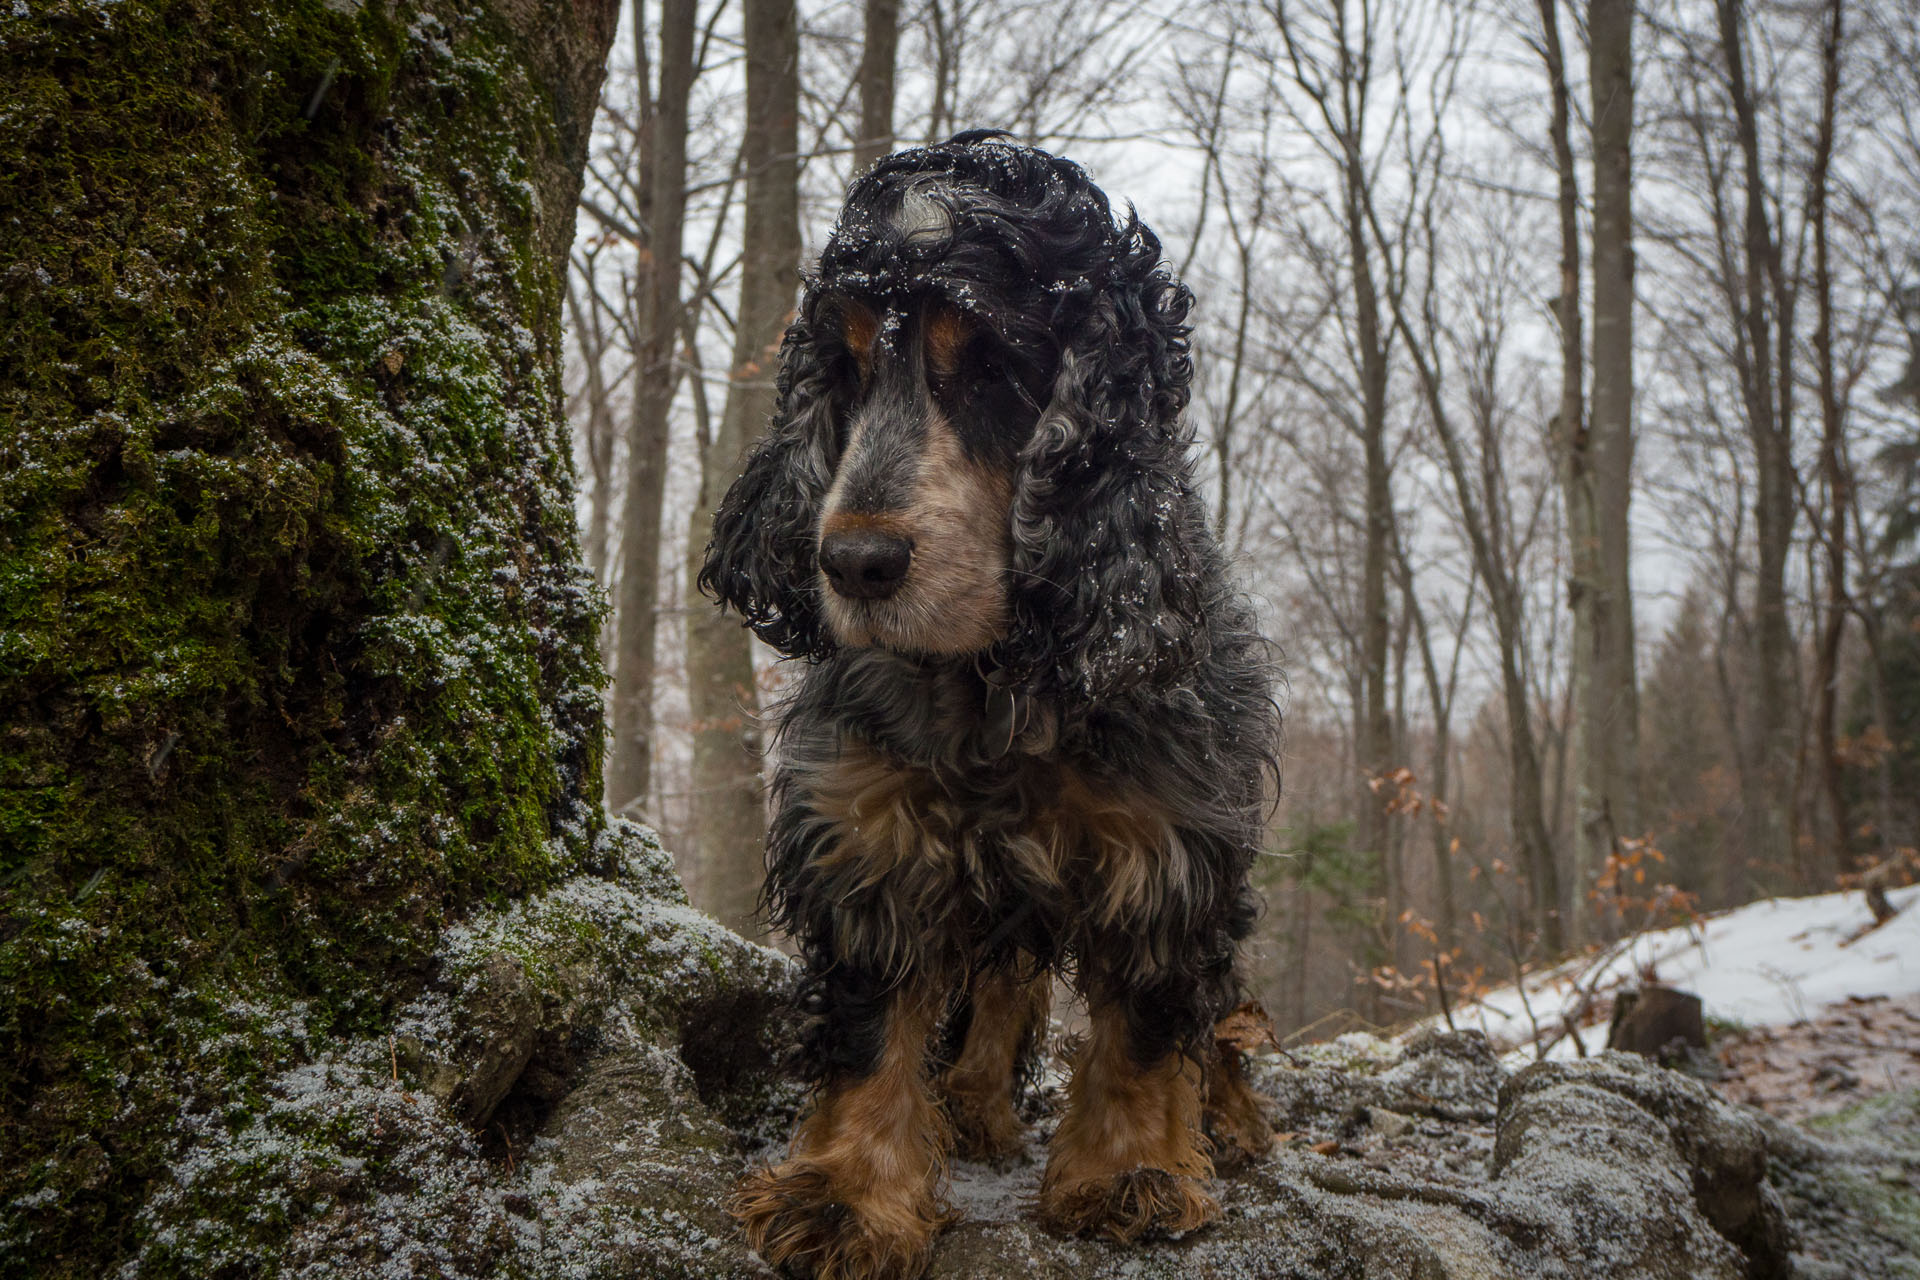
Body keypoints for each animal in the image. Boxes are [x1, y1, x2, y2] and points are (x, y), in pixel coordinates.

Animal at [698, 132, 1282, 1280]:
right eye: (844, 366)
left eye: (993, 370)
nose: (855, 564)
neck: (997, 677)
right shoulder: (863, 830)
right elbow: (870, 1026)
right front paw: (847, 1195)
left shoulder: (1175, 837)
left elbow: (1150, 1024)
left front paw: (1129, 1174)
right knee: (1004, 985)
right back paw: (971, 1109)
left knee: (1222, 1007)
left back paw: (1230, 1121)